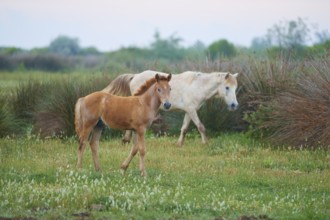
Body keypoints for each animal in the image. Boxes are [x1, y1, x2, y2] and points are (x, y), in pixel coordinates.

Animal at [102, 70, 238, 146]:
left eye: (235, 88)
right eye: (227, 87)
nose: (234, 105)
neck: (198, 86)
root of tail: (134, 76)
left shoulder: (189, 111)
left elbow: (184, 128)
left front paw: (179, 144)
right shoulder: (192, 110)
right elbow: (201, 126)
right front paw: (206, 143)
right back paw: (126, 140)